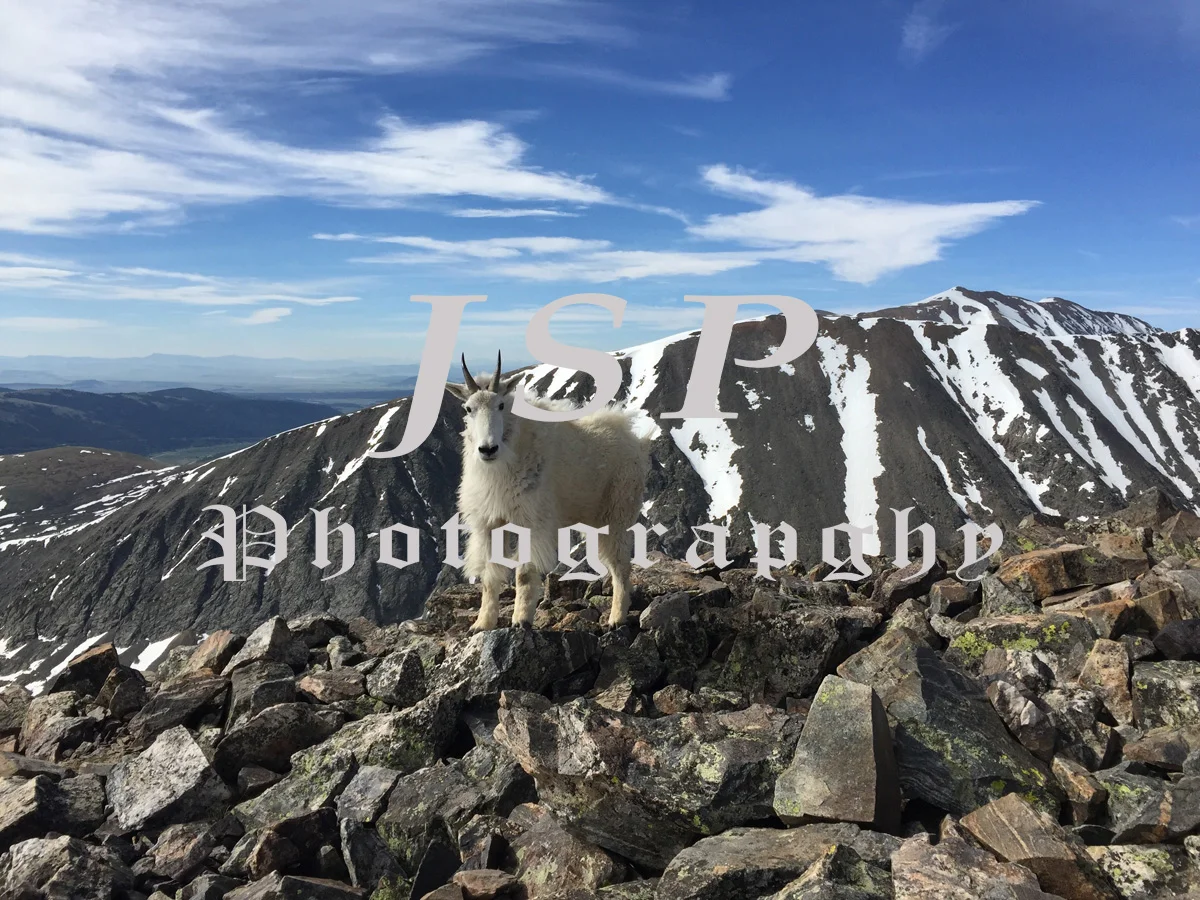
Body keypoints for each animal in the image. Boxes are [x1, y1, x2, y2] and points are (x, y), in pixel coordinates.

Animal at [445, 353, 651, 630]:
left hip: (617, 512)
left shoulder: (532, 521)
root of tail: (637, 442)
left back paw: (616, 618)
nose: (488, 449)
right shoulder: (490, 523)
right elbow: (489, 575)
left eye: (501, 405)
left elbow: (523, 574)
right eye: (468, 409)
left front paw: (521, 620)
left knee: (621, 566)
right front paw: (482, 624)